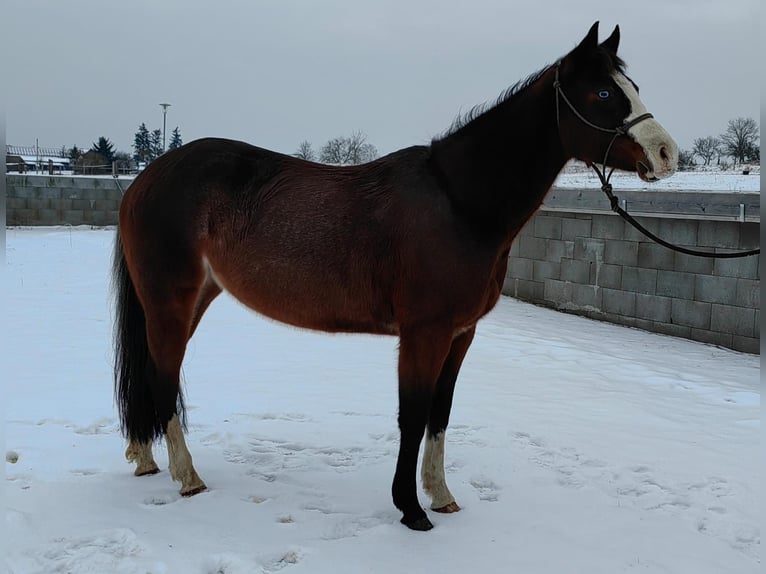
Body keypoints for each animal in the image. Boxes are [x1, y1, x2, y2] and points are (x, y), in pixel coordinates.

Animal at [113, 22, 678, 531]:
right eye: (603, 92)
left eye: (632, 86)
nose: (667, 154)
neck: (458, 202)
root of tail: (145, 179)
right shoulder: (423, 334)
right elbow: (413, 414)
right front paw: (410, 509)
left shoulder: (460, 334)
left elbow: (440, 414)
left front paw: (442, 496)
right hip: (171, 301)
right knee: (162, 376)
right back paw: (187, 477)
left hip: (192, 298)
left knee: (149, 371)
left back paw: (145, 459)